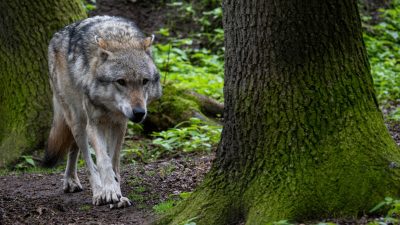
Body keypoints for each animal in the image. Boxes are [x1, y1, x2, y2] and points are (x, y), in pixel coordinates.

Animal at [43, 15, 162, 208]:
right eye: (121, 81)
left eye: (144, 81)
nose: (139, 112)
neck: (119, 39)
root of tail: (56, 35)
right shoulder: (94, 124)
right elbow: (103, 161)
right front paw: (109, 192)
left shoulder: (120, 125)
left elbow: (114, 162)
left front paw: (118, 193)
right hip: (78, 121)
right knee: (87, 158)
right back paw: (96, 192)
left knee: (74, 149)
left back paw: (72, 180)